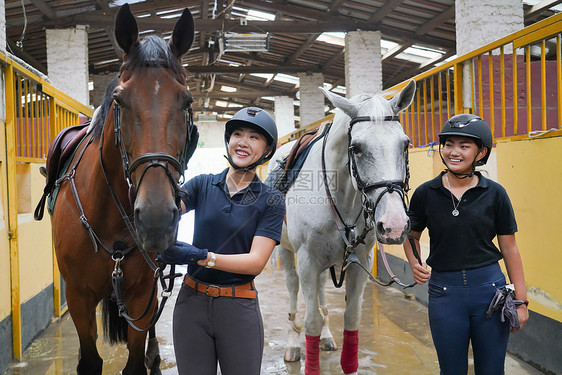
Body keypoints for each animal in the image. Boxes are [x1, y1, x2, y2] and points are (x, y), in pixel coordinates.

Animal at [49, 4, 196, 374]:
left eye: (187, 102)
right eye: (119, 100)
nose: (156, 219)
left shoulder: (141, 293)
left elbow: (134, 361)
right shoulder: (78, 297)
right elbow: (90, 360)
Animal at [266, 81, 416, 375]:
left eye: (405, 144)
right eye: (356, 148)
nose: (394, 225)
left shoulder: (360, 262)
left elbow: (351, 318)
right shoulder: (307, 261)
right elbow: (310, 321)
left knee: (322, 295)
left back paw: (326, 337)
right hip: (288, 255)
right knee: (293, 293)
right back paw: (292, 345)